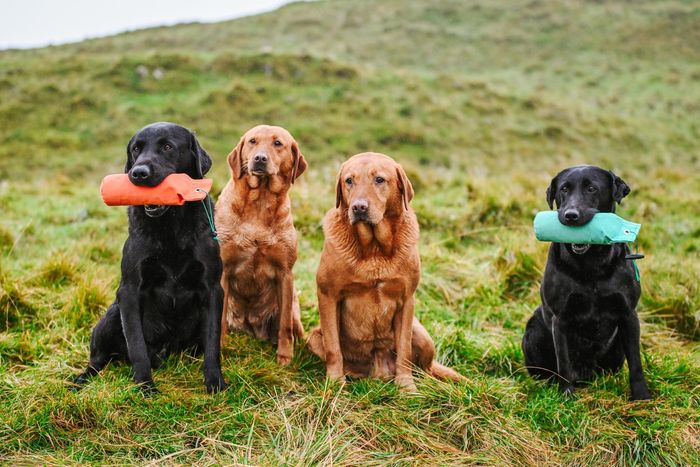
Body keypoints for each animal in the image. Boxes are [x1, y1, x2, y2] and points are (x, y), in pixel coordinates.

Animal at [74, 121, 227, 394]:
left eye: (167, 147)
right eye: (136, 149)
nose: (138, 173)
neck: (171, 226)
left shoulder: (212, 289)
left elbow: (212, 342)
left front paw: (214, 383)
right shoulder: (129, 290)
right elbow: (136, 345)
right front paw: (145, 386)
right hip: (110, 316)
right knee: (98, 359)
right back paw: (82, 379)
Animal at [524, 166, 652, 400]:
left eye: (592, 188)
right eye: (564, 189)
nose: (570, 216)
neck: (590, 264)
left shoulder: (629, 314)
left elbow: (636, 362)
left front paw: (641, 396)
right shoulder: (560, 319)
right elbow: (564, 363)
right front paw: (566, 396)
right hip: (533, 329)